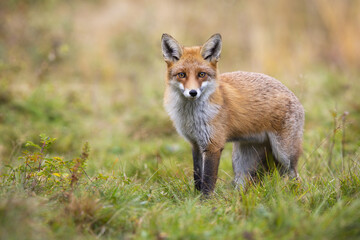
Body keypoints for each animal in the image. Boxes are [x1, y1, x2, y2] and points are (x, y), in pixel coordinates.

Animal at [160, 33, 304, 195]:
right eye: (182, 75)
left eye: (201, 74)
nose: (192, 92)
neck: (191, 116)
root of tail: (295, 98)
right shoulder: (195, 144)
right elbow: (197, 176)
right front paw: (195, 197)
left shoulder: (213, 145)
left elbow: (208, 181)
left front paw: (205, 200)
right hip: (241, 161)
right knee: (243, 185)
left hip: (284, 154)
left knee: (295, 176)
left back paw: (297, 194)